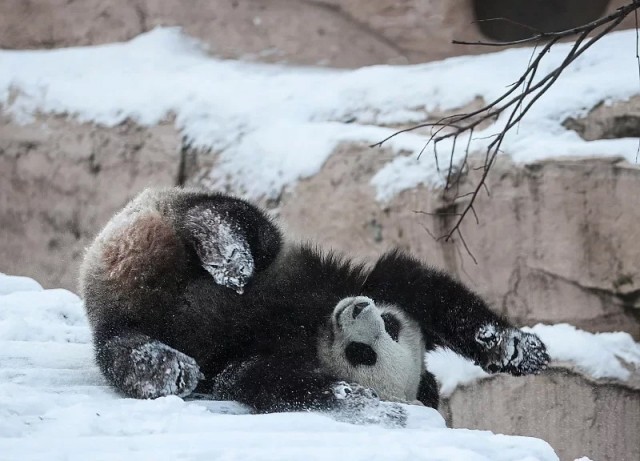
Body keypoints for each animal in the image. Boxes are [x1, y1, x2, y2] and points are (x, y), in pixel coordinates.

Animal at [81, 187, 552, 416]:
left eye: (363, 353)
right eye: (390, 324)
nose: (359, 308)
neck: (314, 327)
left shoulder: (257, 357)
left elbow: (253, 378)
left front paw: (348, 394)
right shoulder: (353, 282)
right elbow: (420, 286)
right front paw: (517, 349)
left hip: (123, 319)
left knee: (123, 349)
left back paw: (168, 367)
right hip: (176, 214)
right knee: (241, 225)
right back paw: (230, 257)